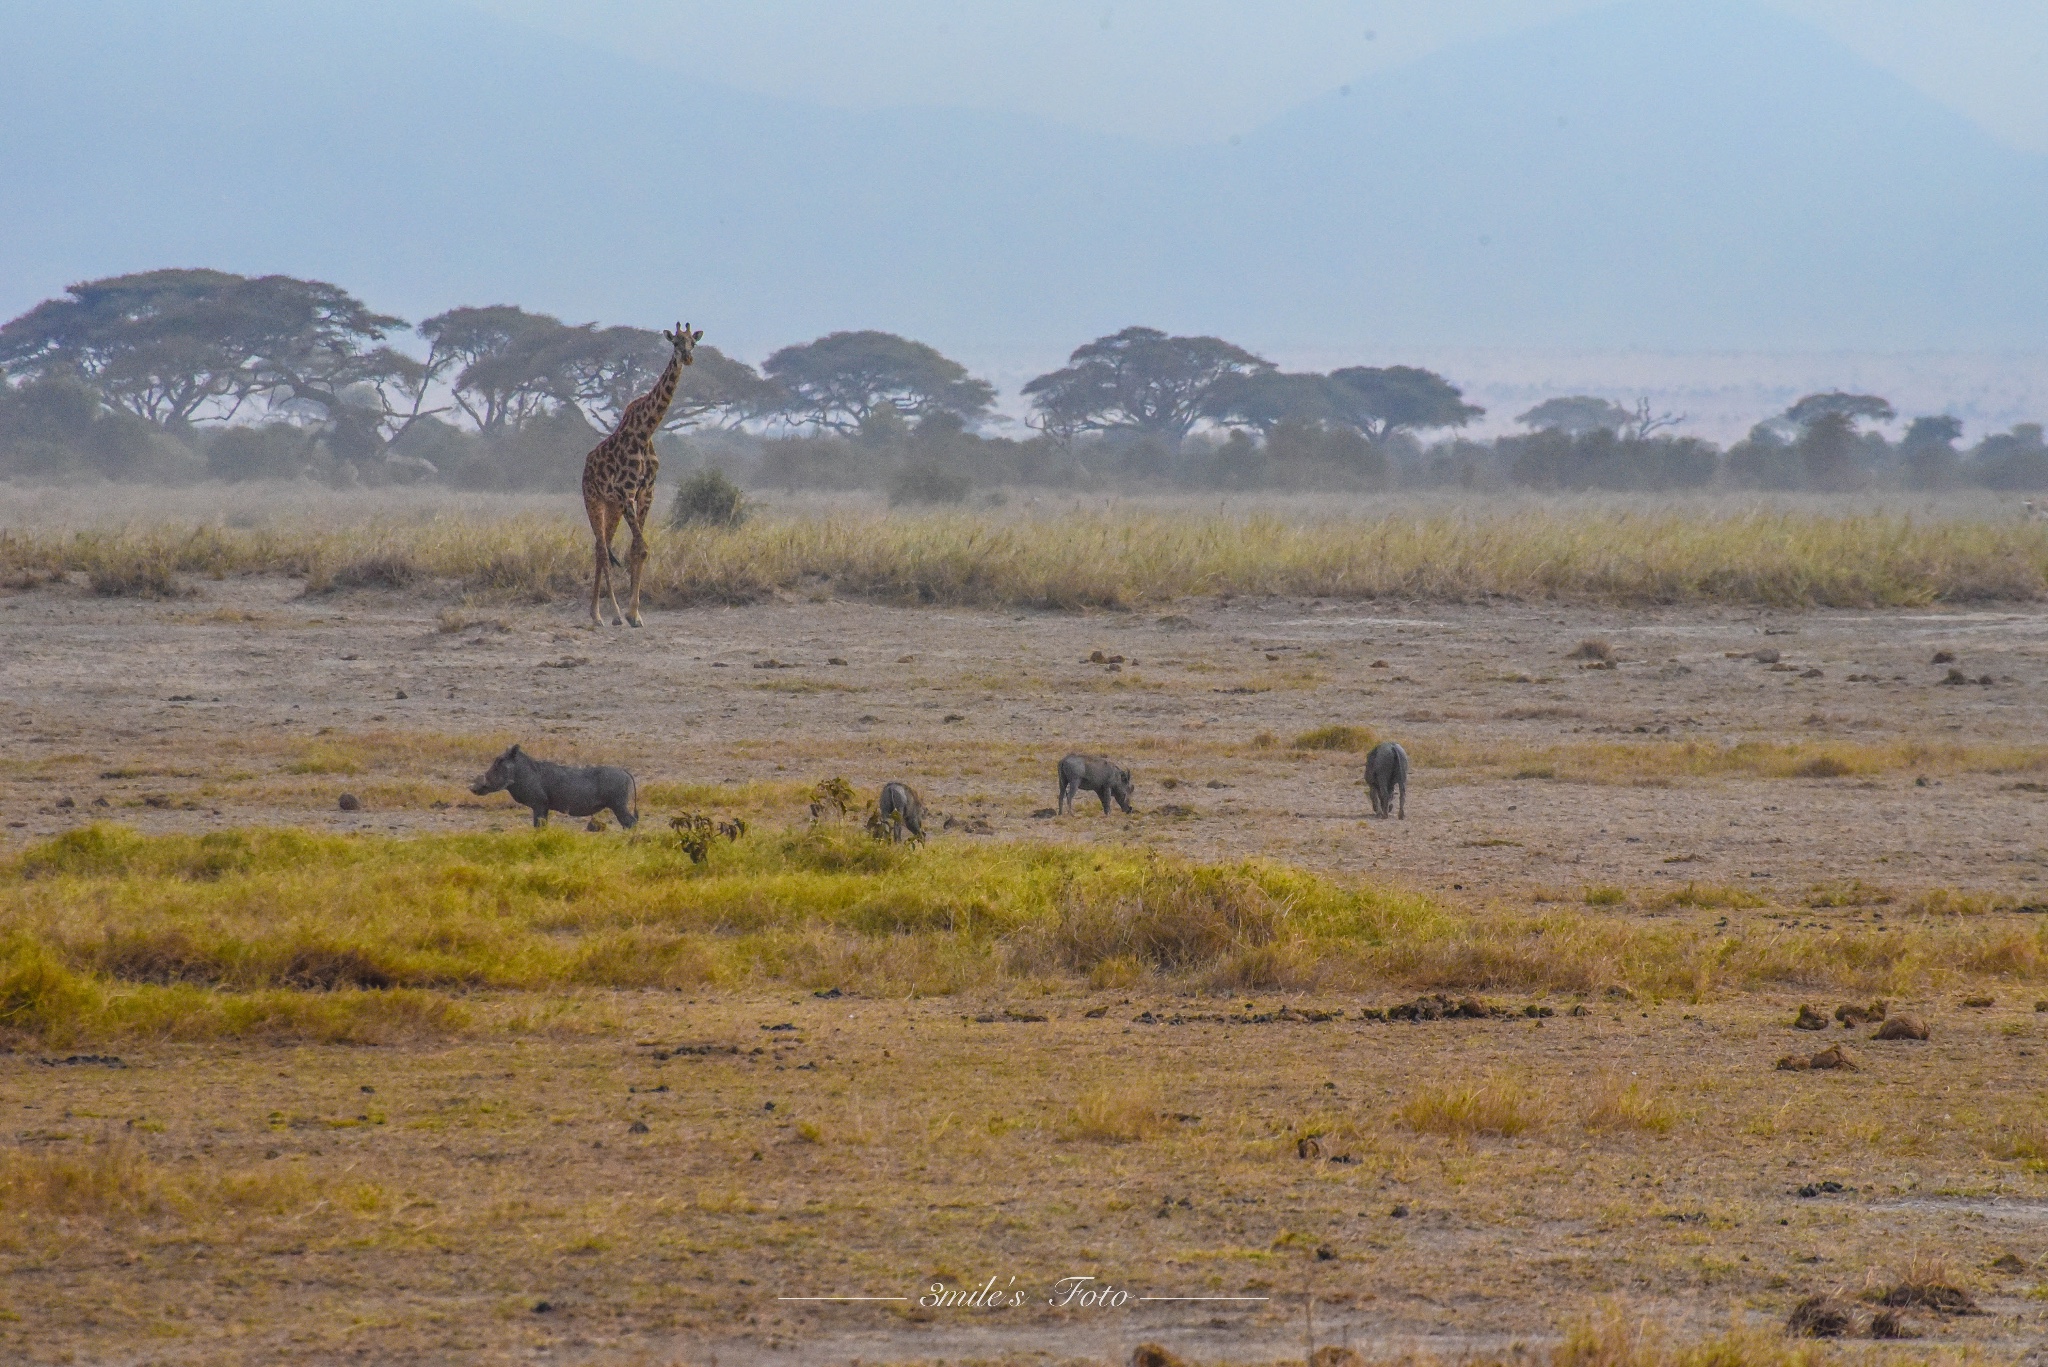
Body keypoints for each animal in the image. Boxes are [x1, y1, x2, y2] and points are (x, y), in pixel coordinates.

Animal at [581, 321, 700, 627]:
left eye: (693, 343)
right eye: (675, 343)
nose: (688, 358)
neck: (646, 431)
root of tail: (585, 465)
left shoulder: (646, 492)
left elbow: (637, 549)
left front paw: (635, 613)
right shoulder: (627, 493)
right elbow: (641, 547)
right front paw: (630, 614)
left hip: (611, 506)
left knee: (602, 547)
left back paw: (601, 614)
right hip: (594, 499)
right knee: (601, 549)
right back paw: (604, 614)